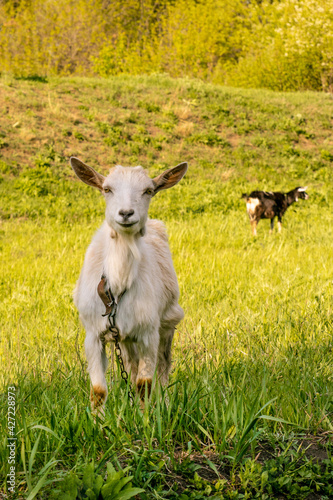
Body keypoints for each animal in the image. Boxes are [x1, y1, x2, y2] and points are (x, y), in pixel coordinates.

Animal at [69, 157, 187, 410]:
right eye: (107, 189)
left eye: (148, 191)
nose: (126, 213)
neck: (118, 285)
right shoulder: (93, 334)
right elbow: (98, 390)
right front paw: (98, 420)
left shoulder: (148, 332)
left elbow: (145, 385)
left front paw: (146, 417)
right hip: (124, 338)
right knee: (131, 365)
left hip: (168, 321)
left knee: (163, 367)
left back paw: (164, 403)